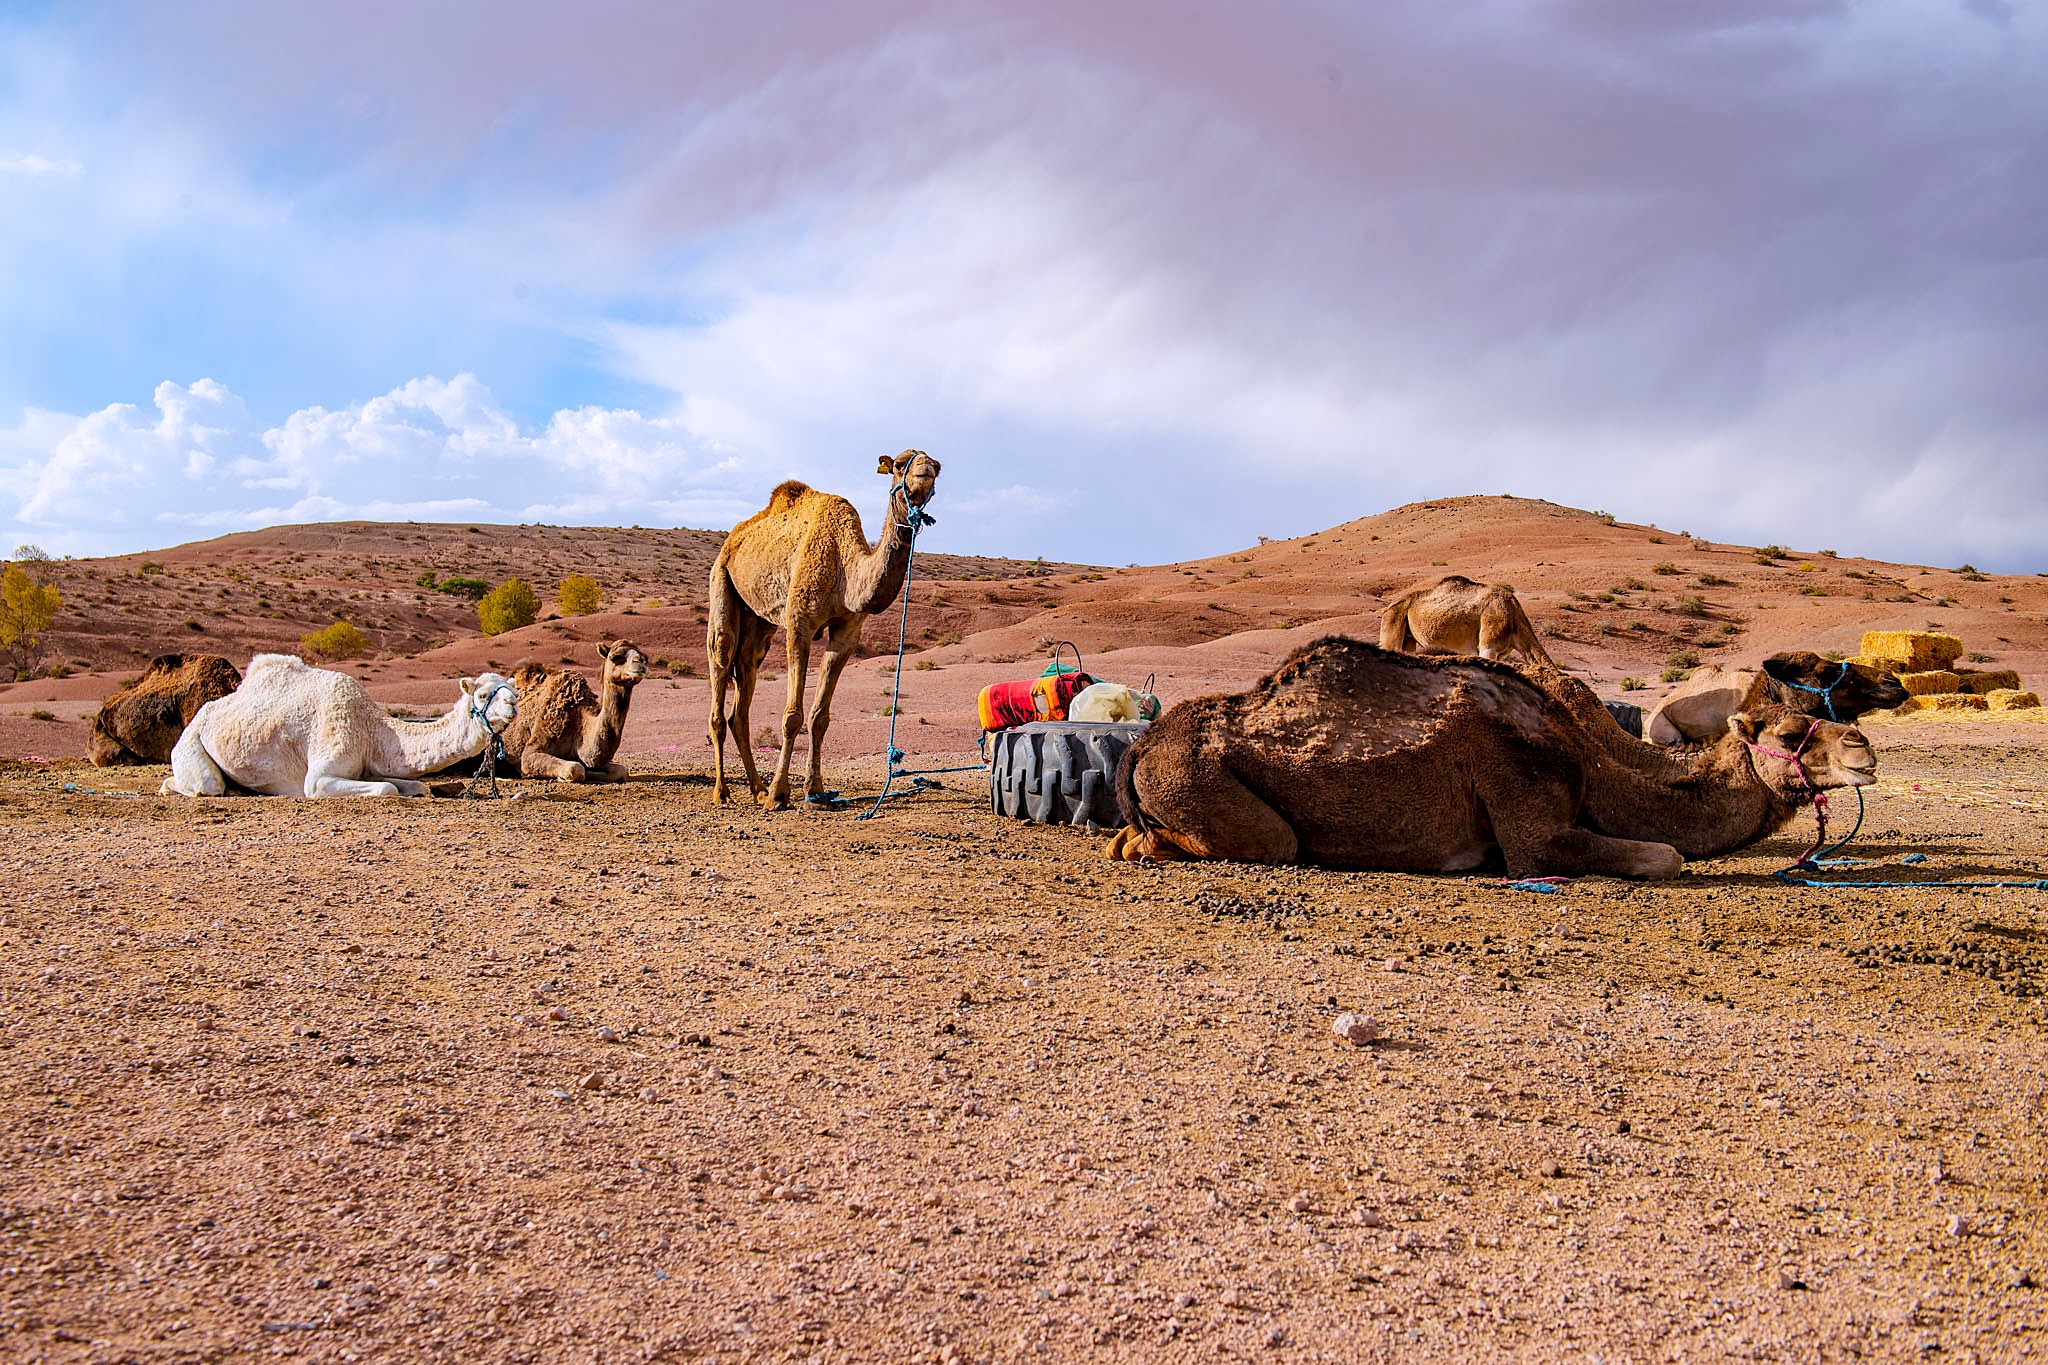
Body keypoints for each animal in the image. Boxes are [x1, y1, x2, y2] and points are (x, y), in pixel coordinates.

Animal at [161, 654, 517, 798]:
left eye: (511, 688)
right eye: (483, 694)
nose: (513, 703)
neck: (370, 729)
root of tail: (200, 715)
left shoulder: (367, 767)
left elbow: (415, 786)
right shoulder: (319, 778)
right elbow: (387, 789)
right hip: (190, 742)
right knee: (204, 784)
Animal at [496, 641, 647, 782]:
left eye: (645, 656)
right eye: (616, 657)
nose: (641, 662)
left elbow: (621, 770)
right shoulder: (531, 752)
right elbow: (576, 768)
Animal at [707, 450, 941, 808]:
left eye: (938, 468)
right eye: (901, 463)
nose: (926, 468)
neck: (845, 569)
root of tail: (735, 538)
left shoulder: (846, 632)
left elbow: (820, 717)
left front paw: (814, 790)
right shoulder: (799, 623)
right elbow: (792, 717)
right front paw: (780, 793)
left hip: (758, 621)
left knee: (745, 679)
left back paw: (757, 788)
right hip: (721, 581)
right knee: (721, 663)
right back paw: (723, 792)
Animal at [1104, 638, 1874, 878]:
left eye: (1828, 715)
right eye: (1787, 734)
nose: (1865, 751)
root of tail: (1141, 743)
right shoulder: (1529, 817)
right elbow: (1666, 854)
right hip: (1212, 790)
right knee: (1265, 842)